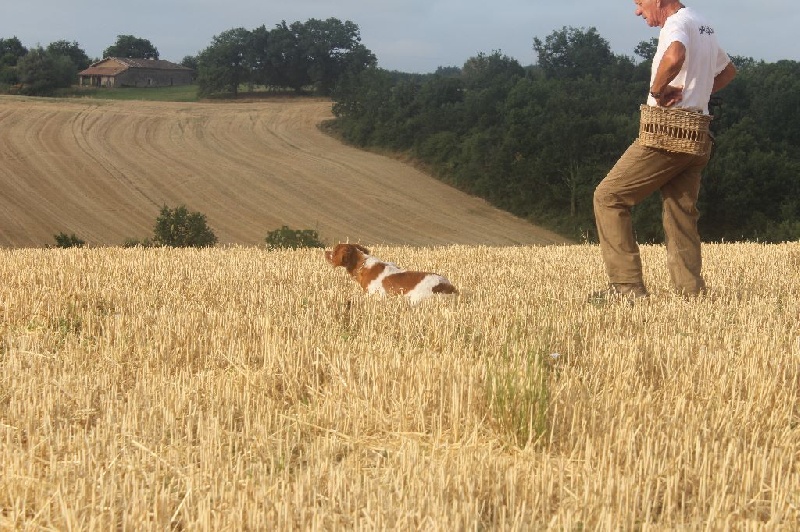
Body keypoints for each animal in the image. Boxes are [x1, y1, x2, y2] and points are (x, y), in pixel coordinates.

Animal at [324, 244, 456, 304]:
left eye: (335, 251)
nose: (325, 252)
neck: (363, 265)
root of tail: (447, 285)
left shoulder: (373, 294)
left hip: (416, 299)